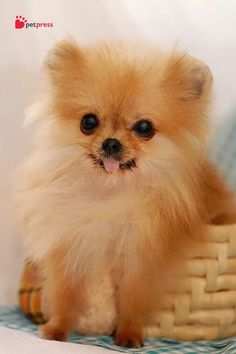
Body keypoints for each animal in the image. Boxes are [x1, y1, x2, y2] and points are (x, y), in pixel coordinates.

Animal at [14, 40, 234, 348]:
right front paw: (56, 329)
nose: (111, 143)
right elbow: (64, 294)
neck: (110, 194)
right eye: (89, 122)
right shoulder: (68, 249)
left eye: (144, 128)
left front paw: (129, 334)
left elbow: (133, 300)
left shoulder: (141, 259)